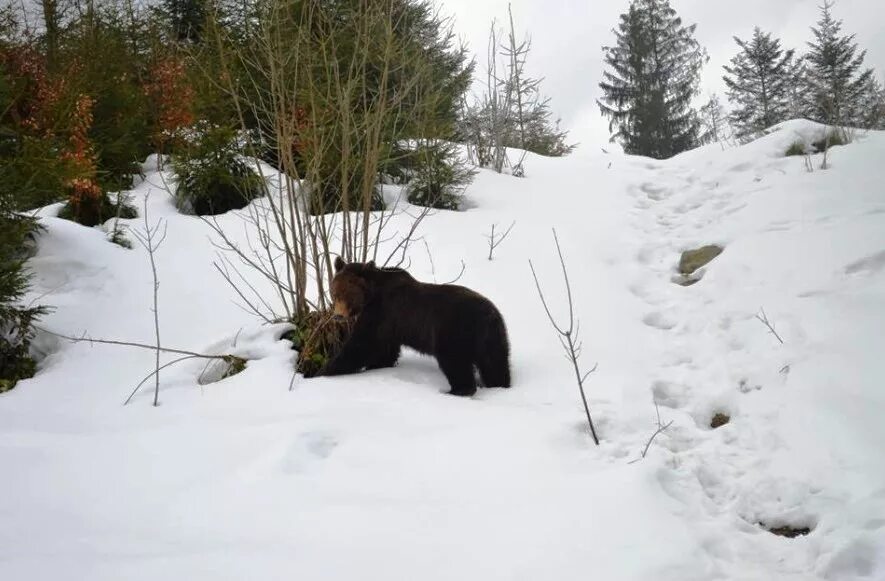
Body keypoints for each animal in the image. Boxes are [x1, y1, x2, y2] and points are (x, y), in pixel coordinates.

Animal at [314, 258, 512, 396]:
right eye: (334, 293)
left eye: (349, 295)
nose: (338, 315)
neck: (372, 293)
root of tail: (488, 315)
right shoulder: (390, 325)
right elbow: (385, 351)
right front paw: (378, 366)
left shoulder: (381, 313)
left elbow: (361, 346)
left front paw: (324, 371)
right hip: (493, 338)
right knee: (495, 364)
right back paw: (499, 385)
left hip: (453, 332)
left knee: (455, 362)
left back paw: (457, 390)